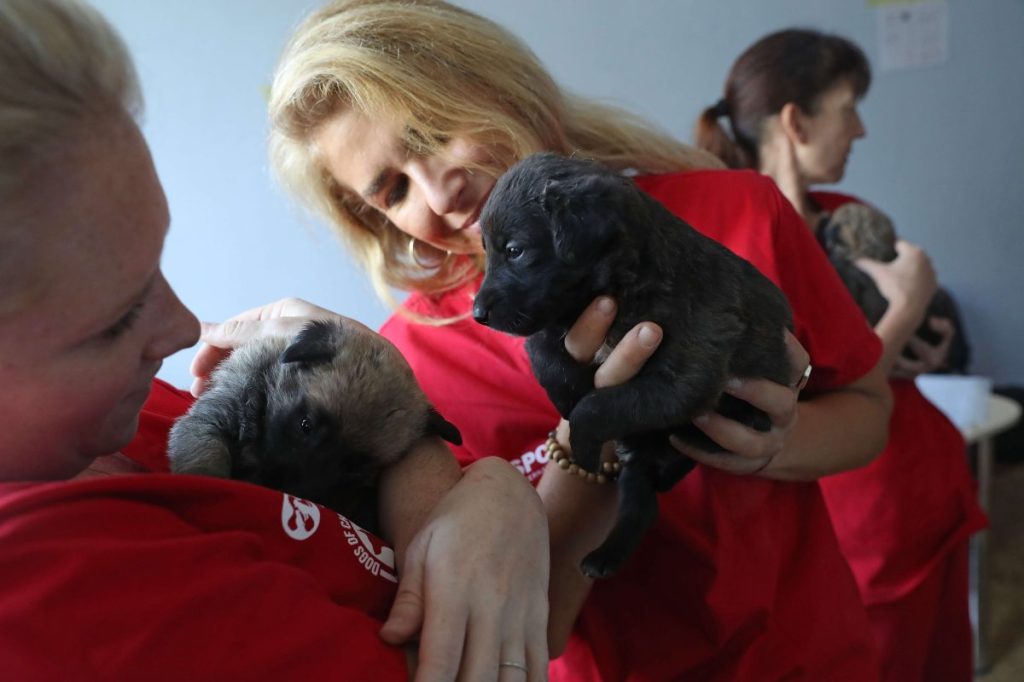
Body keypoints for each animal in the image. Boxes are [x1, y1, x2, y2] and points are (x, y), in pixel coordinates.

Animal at [471, 152, 790, 573]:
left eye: (514, 251)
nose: (476, 313)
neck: (616, 286)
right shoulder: (554, 319)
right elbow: (542, 352)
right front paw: (567, 396)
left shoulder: (685, 375)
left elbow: (597, 405)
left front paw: (582, 445)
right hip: (639, 456)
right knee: (642, 504)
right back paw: (607, 553)